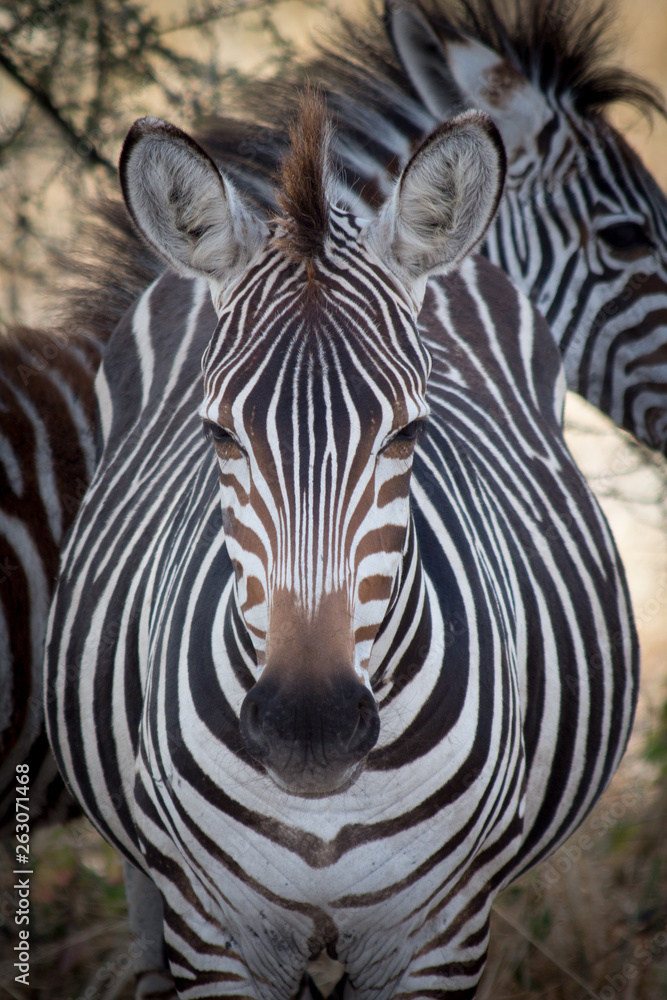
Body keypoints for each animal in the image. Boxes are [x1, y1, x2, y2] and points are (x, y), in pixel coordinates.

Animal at [44, 90, 637, 999]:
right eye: (217, 433)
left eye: (409, 433)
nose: (308, 733)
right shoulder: (213, 934)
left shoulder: (438, 935)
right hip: (151, 880)